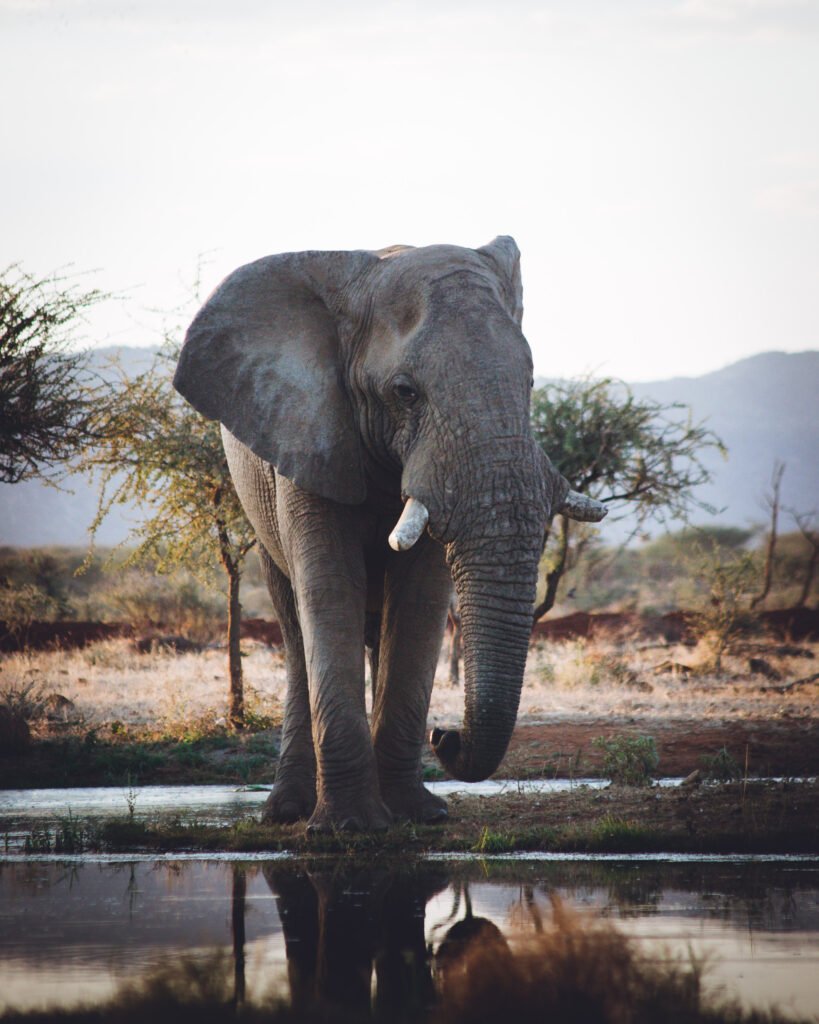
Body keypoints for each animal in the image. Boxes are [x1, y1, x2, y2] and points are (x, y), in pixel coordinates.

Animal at [173, 236, 605, 831]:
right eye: (405, 392)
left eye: (531, 383)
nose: (446, 734)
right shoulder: (309, 435)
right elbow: (329, 590)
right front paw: (350, 826)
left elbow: (420, 601)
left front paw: (419, 815)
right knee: (296, 632)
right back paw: (286, 812)